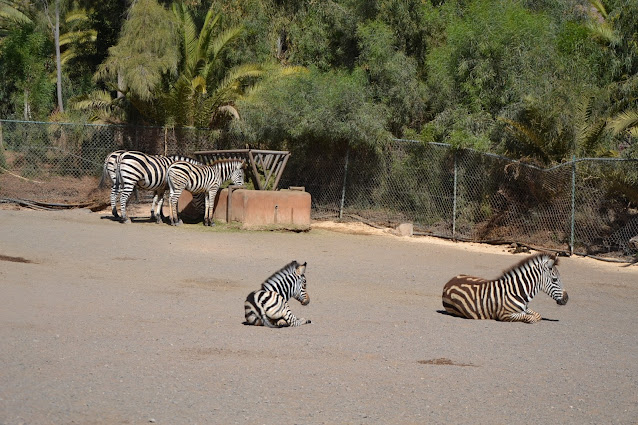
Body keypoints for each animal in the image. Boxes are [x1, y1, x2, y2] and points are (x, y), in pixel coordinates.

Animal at [442, 252, 572, 322]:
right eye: (555, 280)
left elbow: (537, 315)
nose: (566, 299)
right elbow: (531, 318)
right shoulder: (504, 315)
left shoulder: (525, 308)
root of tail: (449, 282)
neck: (517, 291)